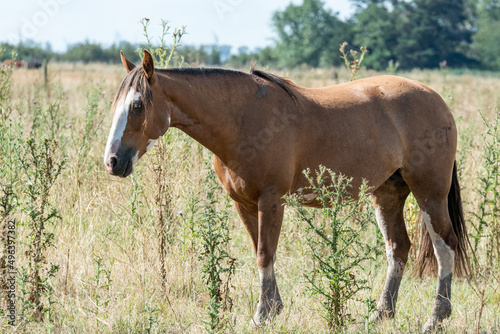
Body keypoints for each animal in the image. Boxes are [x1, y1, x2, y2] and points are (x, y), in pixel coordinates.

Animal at [102, 50, 468, 332]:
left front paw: (262, 316)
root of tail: (435, 99)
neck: (242, 120)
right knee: (398, 248)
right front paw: (274, 309)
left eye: (137, 105)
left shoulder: (271, 201)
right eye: (116, 104)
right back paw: (380, 315)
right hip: (387, 194)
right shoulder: (244, 204)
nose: (113, 161)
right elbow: (260, 252)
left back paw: (435, 318)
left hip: (430, 194)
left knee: (444, 247)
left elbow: (266, 253)